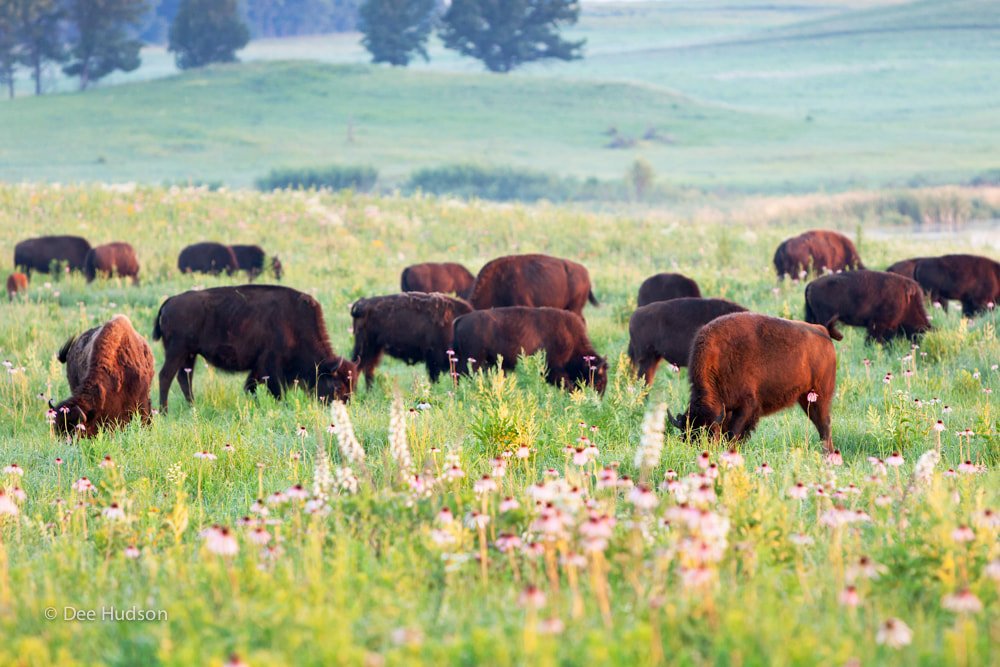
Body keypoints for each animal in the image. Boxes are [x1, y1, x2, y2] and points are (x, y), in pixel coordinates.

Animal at [152, 285, 355, 410]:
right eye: (337, 386)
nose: (345, 406)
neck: (295, 325)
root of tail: (170, 302)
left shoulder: (258, 367)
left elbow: (250, 387)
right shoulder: (271, 367)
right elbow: (276, 391)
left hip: (189, 355)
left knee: (184, 378)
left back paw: (192, 406)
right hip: (176, 351)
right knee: (165, 376)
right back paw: (164, 411)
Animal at [452, 306, 608, 393]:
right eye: (599, 381)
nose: (599, 399)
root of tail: (460, 319)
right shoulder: (554, 369)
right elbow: (566, 384)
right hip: (473, 360)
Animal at [669, 312, 841, 452]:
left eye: (708, 435)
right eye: (686, 436)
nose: (700, 451)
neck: (718, 359)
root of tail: (823, 331)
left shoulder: (746, 406)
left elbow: (733, 434)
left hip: (820, 396)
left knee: (824, 425)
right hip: (806, 398)